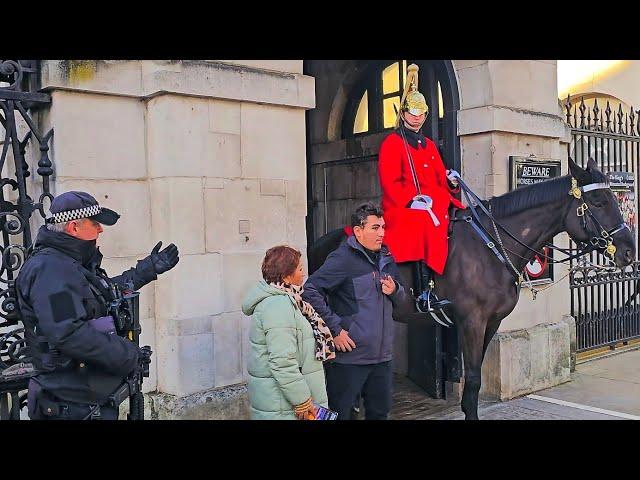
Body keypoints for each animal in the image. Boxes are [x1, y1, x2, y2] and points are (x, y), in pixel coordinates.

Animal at [308, 158, 636, 420]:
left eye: (613, 199)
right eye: (599, 203)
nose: (629, 252)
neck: (491, 247)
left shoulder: (492, 322)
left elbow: (476, 379)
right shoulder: (471, 322)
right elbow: (475, 378)